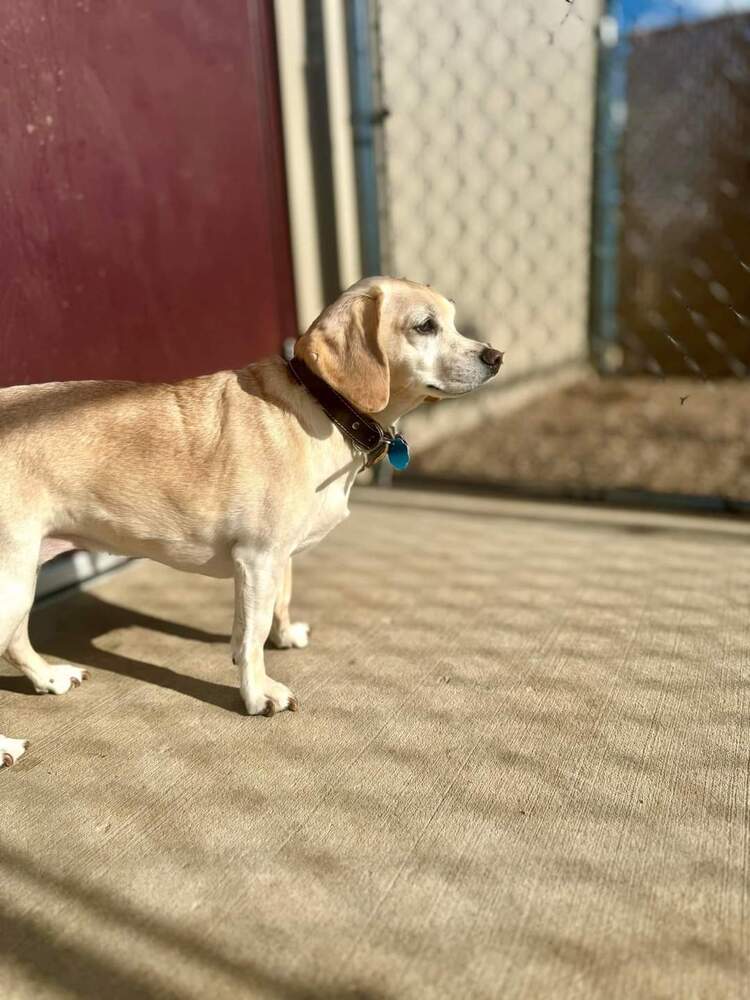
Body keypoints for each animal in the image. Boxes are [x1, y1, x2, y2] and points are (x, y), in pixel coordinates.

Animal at [2, 274, 506, 764]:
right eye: (425, 326)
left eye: (453, 319)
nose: (496, 356)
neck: (322, 406)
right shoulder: (259, 556)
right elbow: (254, 632)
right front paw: (258, 691)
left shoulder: (273, 559)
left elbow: (272, 608)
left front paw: (280, 638)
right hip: (14, 580)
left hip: (25, 576)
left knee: (16, 640)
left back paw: (49, 678)